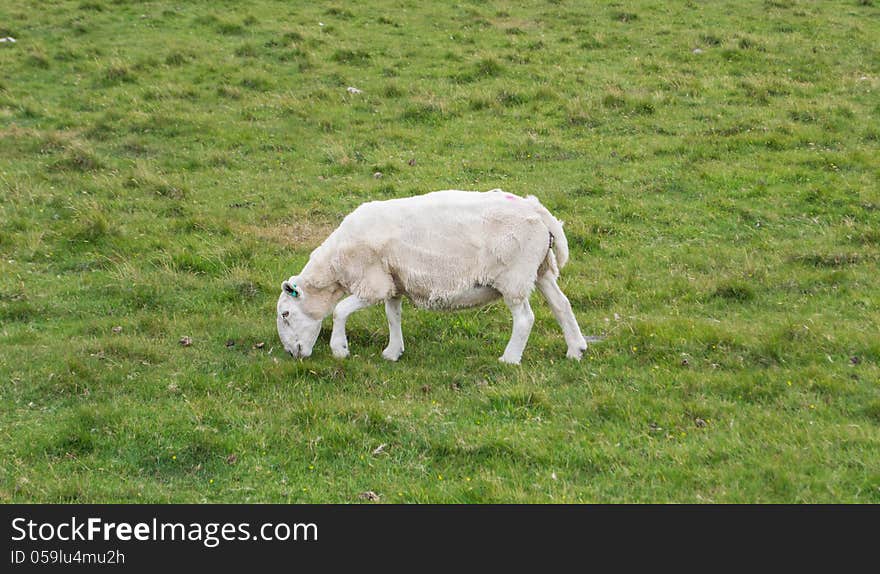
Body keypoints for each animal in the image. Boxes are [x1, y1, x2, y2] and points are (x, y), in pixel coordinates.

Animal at [276, 191, 592, 366]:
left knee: (525, 318)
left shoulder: (373, 282)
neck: (335, 265)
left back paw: (510, 358)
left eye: (285, 314)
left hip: (514, 274)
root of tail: (537, 210)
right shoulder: (394, 282)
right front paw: (393, 352)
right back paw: (576, 349)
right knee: (561, 305)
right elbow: (393, 315)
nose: (293, 354)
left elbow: (340, 310)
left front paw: (340, 349)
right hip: (540, 269)